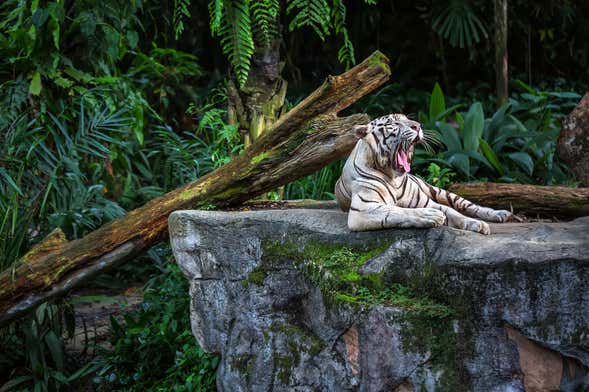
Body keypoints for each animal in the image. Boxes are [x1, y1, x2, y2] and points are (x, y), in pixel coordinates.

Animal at [336, 112, 516, 233]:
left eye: (407, 119)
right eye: (393, 123)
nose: (417, 125)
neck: (393, 177)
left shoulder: (426, 201)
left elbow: (452, 211)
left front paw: (476, 224)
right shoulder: (363, 209)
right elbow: (397, 211)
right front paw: (431, 216)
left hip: (437, 190)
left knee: (468, 205)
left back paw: (500, 214)